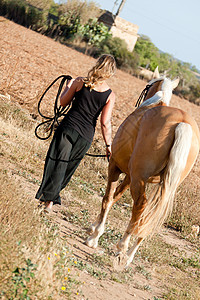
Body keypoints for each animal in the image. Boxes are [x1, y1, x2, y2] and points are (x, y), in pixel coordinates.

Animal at [85, 76, 199, 268]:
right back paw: (129, 255)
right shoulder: (130, 177)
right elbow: (115, 197)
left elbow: (107, 199)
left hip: (138, 179)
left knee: (140, 206)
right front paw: (94, 229)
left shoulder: (115, 166)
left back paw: (122, 247)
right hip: (163, 185)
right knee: (150, 215)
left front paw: (94, 235)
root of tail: (182, 124)